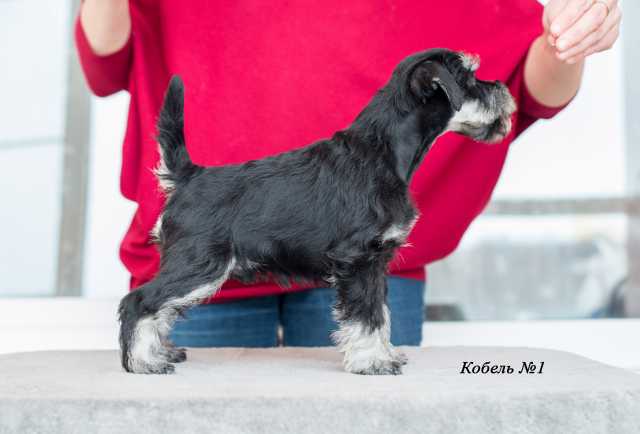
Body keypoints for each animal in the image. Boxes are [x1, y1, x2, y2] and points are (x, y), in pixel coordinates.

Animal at [119, 46, 516, 372]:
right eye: (470, 78)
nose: (502, 89)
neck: (383, 152)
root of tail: (188, 176)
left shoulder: (376, 264)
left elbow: (380, 312)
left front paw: (384, 353)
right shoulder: (358, 260)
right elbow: (365, 315)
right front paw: (372, 362)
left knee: (159, 309)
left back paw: (161, 352)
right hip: (200, 265)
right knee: (140, 301)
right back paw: (143, 362)